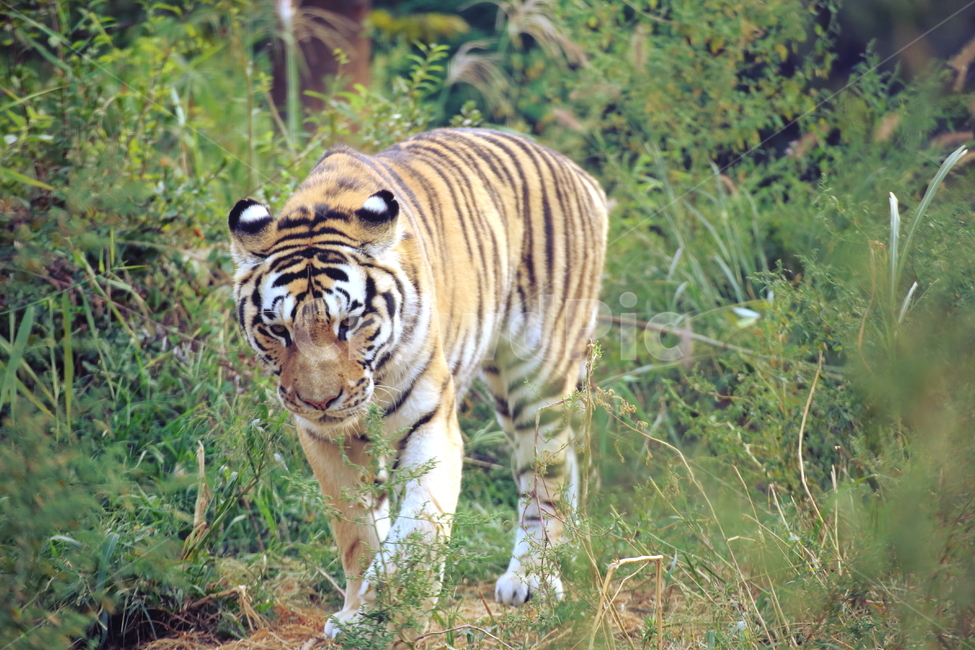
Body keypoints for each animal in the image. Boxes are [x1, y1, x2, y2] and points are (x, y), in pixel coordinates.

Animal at [228, 128, 607, 644]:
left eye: (349, 322)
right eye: (278, 330)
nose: (320, 400)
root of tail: (578, 172)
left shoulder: (431, 422)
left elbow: (418, 529)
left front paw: (395, 615)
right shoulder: (325, 439)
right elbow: (358, 533)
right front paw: (360, 613)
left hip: (538, 374)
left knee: (545, 475)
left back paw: (531, 577)